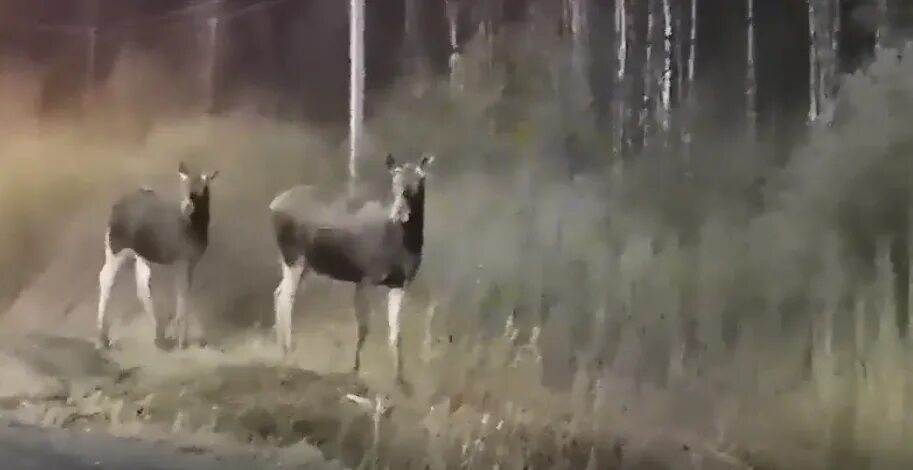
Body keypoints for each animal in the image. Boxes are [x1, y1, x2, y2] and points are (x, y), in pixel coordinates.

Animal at [268, 154, 432, 386]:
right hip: (294, 256)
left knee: (278, 292)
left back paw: (282, 352)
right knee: (286, 299)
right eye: (394, 180)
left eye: (420, 179)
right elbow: (363, 327)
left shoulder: (400, 283)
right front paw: (355, 370)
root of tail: (273, 205)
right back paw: (288, 360)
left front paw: (400, 379)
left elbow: (396, 333)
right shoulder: (366, 277)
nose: (399, 213)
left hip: (301, 263)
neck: (405, 243)